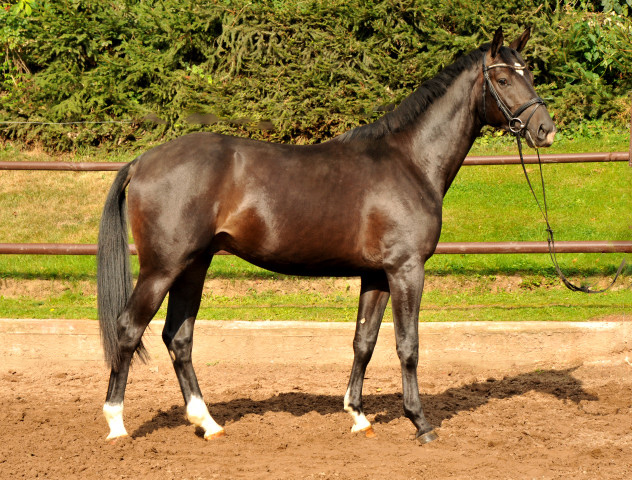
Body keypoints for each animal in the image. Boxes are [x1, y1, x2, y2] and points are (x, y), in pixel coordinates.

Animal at [97, 27, 552, 442]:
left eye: (528, 72)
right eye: (504, 79)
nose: (545, 129)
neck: (409, 161)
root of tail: (142, 161)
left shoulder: (377, 274)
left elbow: (364, 341)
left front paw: (359, 416)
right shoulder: (406, 270)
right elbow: (408, 345)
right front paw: (420, 423)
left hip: (193, 266)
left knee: (178, 338)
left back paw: (207, 423)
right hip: (162, 268)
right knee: (128, 330)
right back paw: (117, 424)